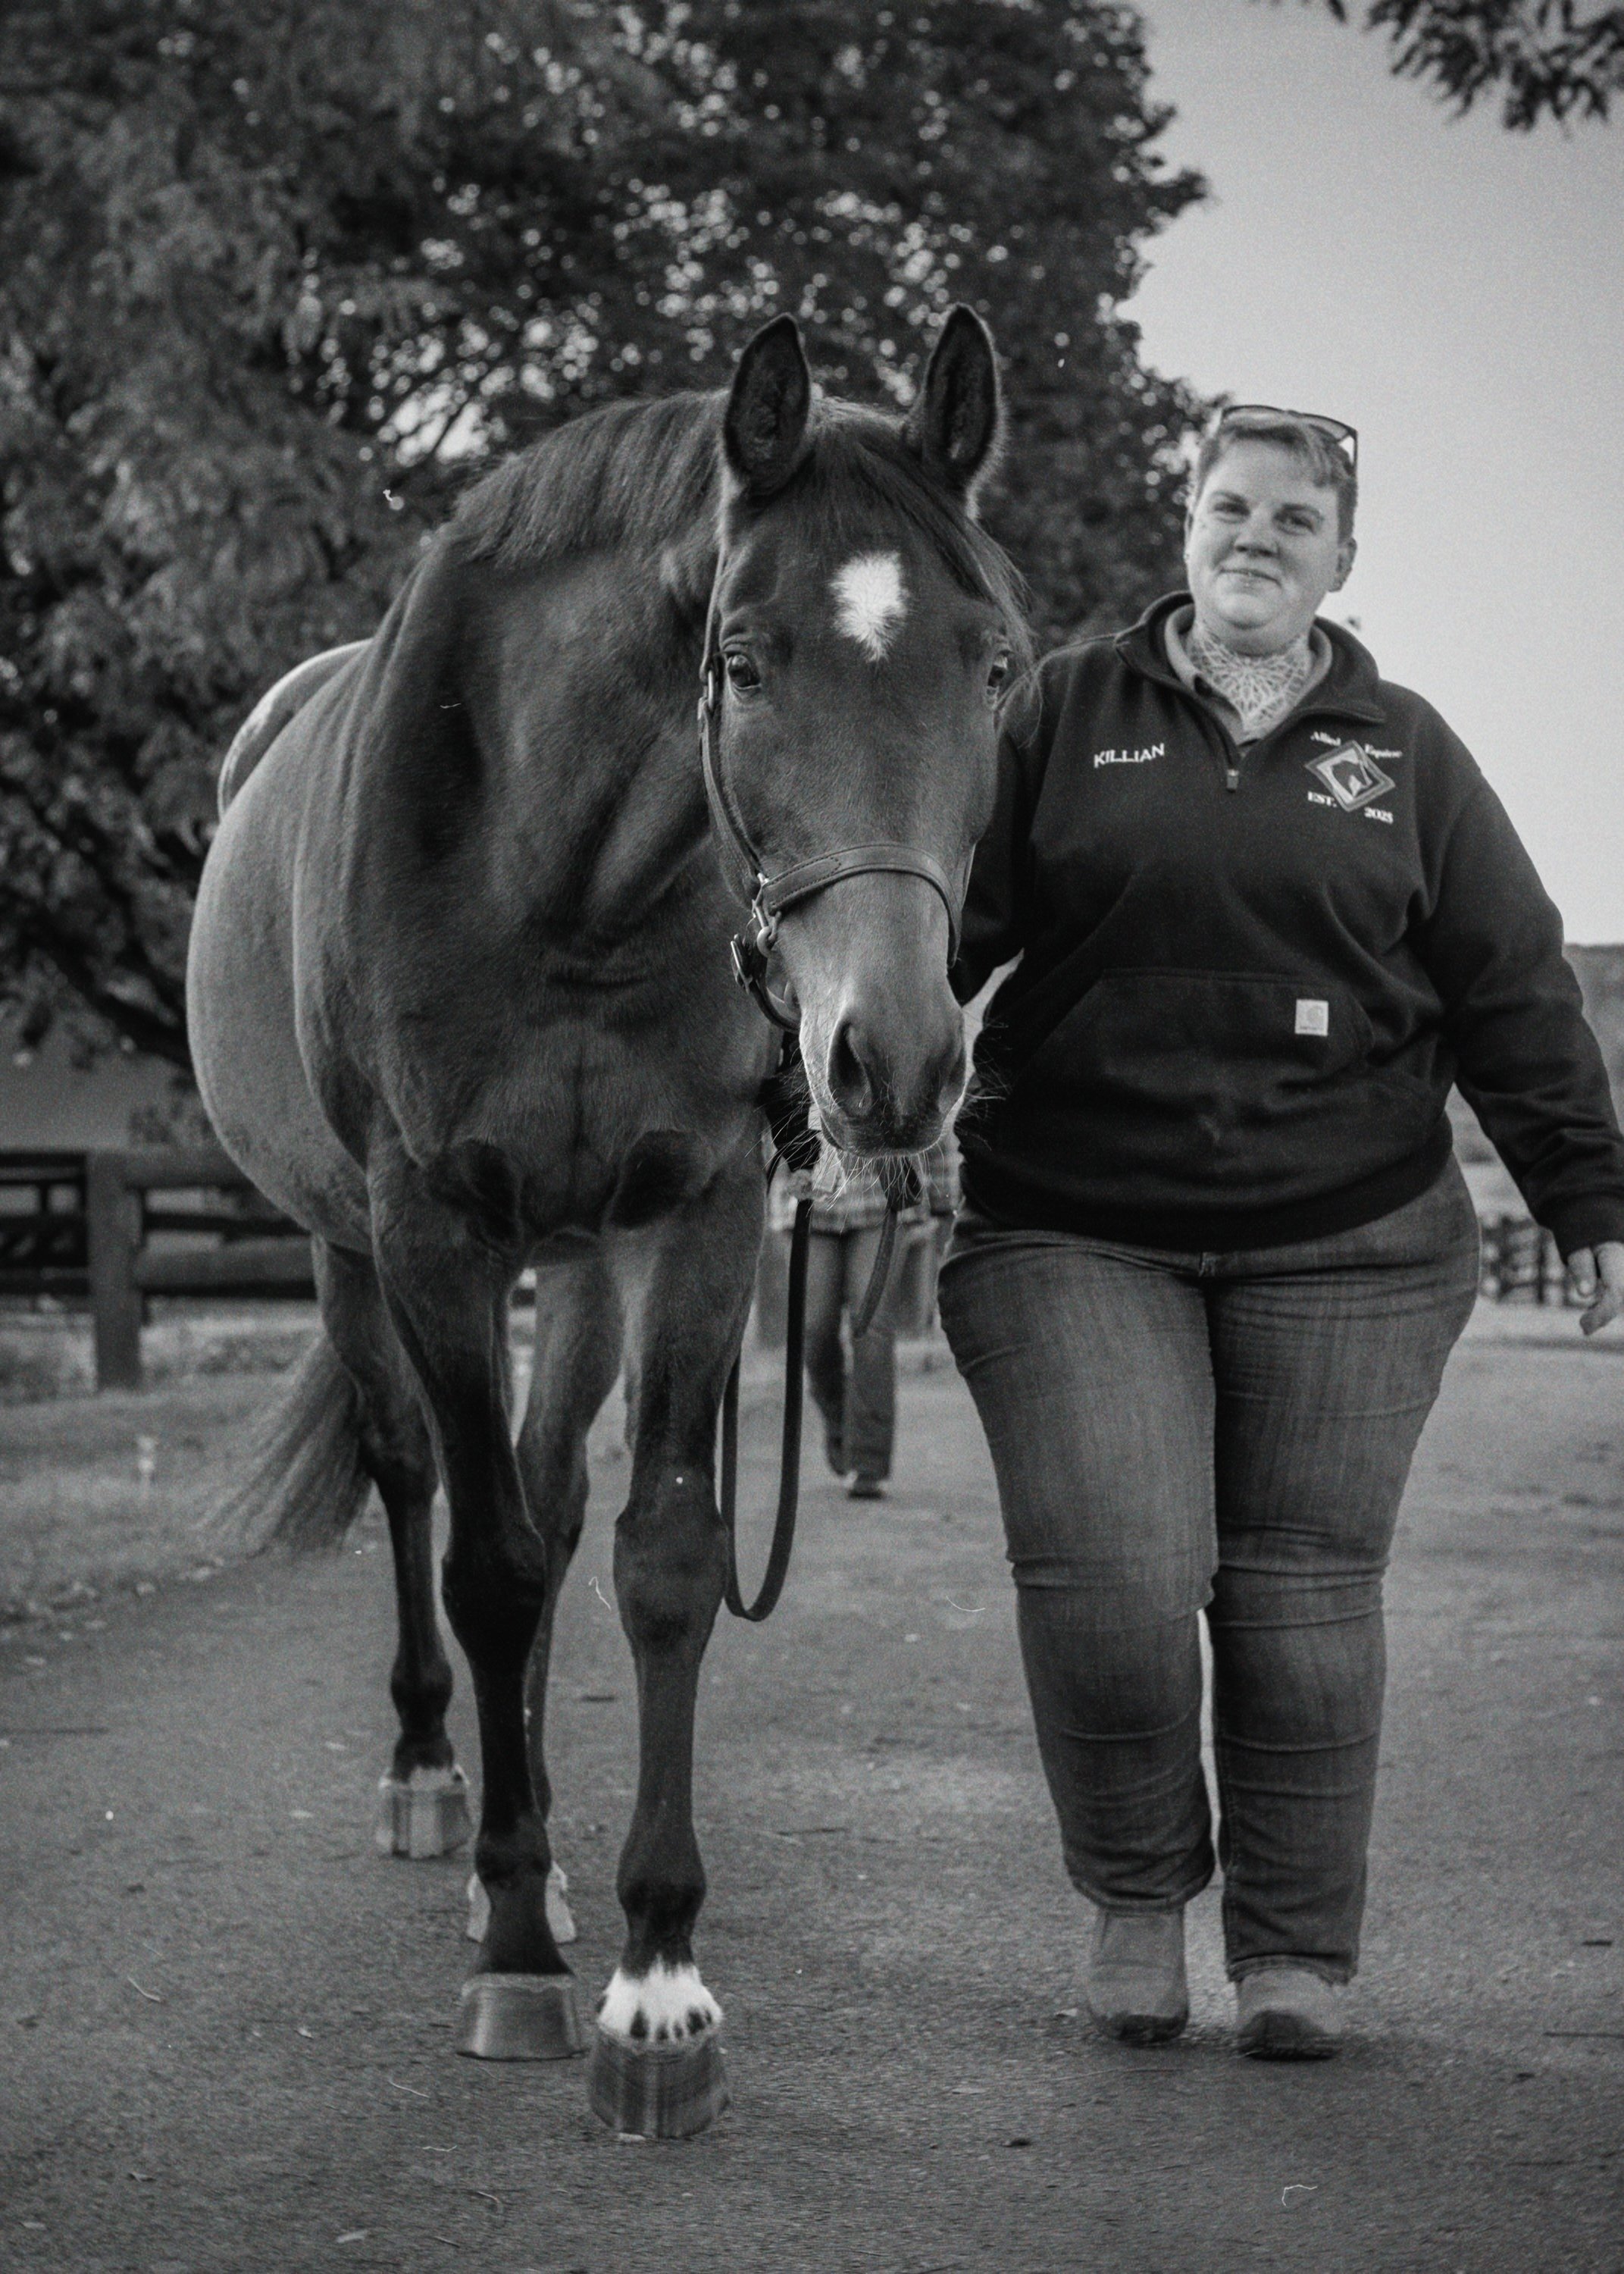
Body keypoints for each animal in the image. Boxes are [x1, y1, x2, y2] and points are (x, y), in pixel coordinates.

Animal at [185, 306, 1029, 2135]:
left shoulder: (692, 1217)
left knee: (553, 1491)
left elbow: (656, 1561)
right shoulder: (432, 1231)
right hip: (351, 1252)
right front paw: (514, 1953)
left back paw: (545, 1844)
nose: (896, 1061)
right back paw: (443, 1788)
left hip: (572, 1261)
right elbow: (489, 1566)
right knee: (422, 1486)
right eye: (747, 661)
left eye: (995, 666)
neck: (558, 872)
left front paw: (656, 1978)